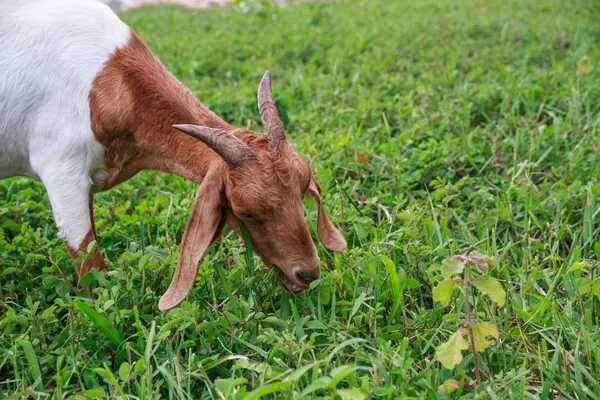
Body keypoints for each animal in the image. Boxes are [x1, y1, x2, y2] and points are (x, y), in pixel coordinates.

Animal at [0, 0, 346, 310]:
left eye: (302, 192)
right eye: (244, 211)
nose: (307, 273)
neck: (112, 85)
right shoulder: (62, 168)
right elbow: (90, 263)